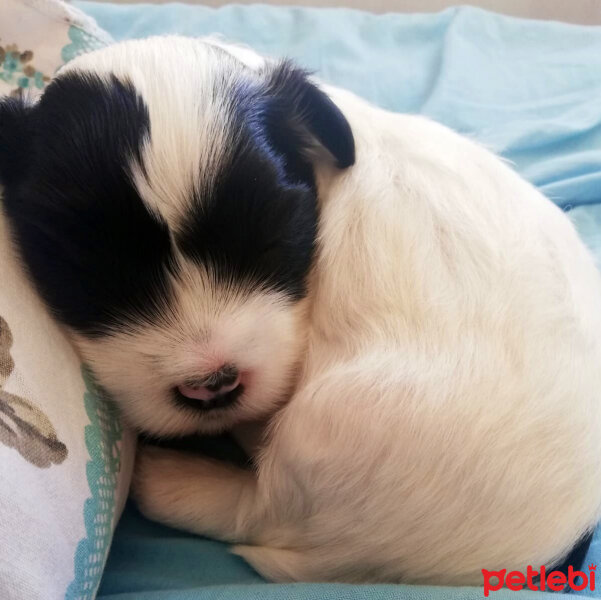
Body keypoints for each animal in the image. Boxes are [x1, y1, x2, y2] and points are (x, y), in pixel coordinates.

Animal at [1, 35, 600, 584]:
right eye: (92, 274)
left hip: (339, 422)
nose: (214, 384)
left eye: (271, 242)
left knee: (263, 511)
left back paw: (169, 478)